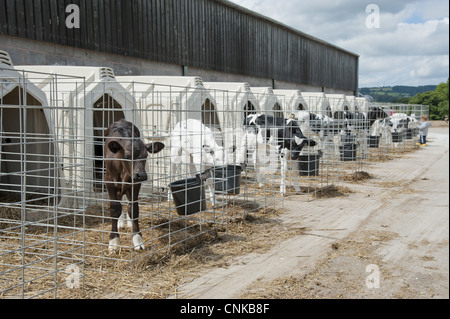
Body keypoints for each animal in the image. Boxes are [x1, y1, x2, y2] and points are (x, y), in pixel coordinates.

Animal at [104, 120, 165, 252]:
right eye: (127, 156)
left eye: (146, 155)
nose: (141, 175)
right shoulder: (109, 182)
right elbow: (114, 209)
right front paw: (114, 241)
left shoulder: (135, 184)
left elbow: (134, 209)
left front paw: (137, 239)